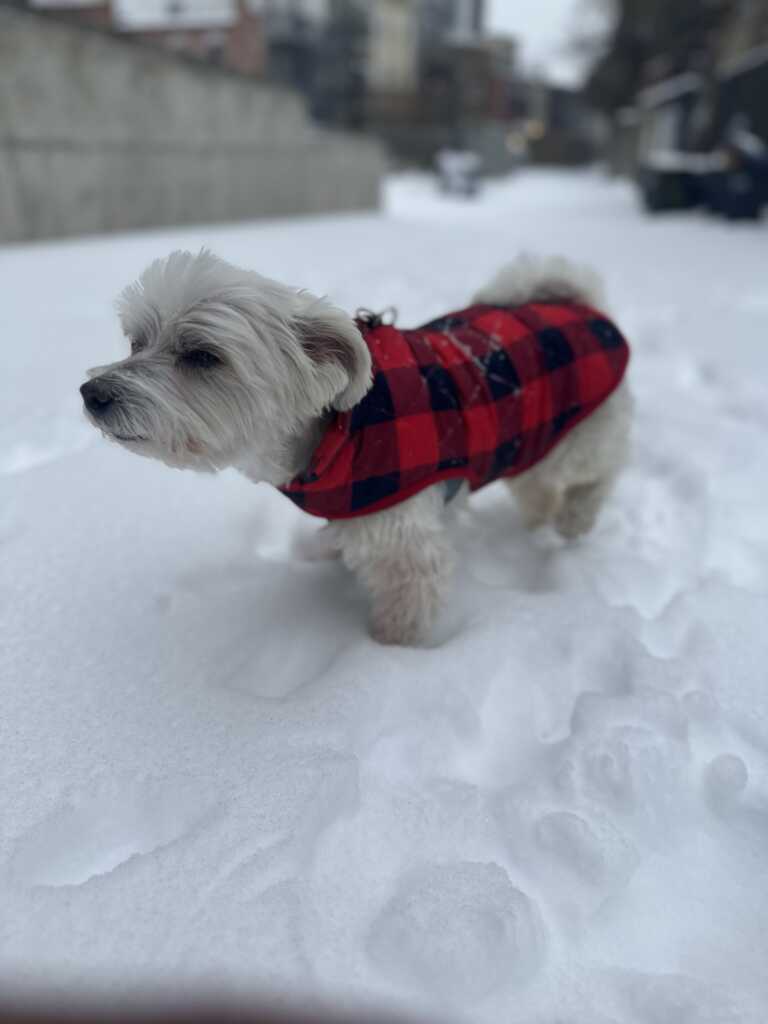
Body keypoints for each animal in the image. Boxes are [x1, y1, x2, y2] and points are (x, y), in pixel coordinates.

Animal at [80, 251, 631, 646]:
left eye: (201, 355)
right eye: (135, 341)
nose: (91, 394)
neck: (335, 429)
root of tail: (576, 300)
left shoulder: (405, 537)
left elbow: (408, 602)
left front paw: (383, 656)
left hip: (581, 433)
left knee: (600, 473)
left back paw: (574, 518)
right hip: (530, 435)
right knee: (537, 484)